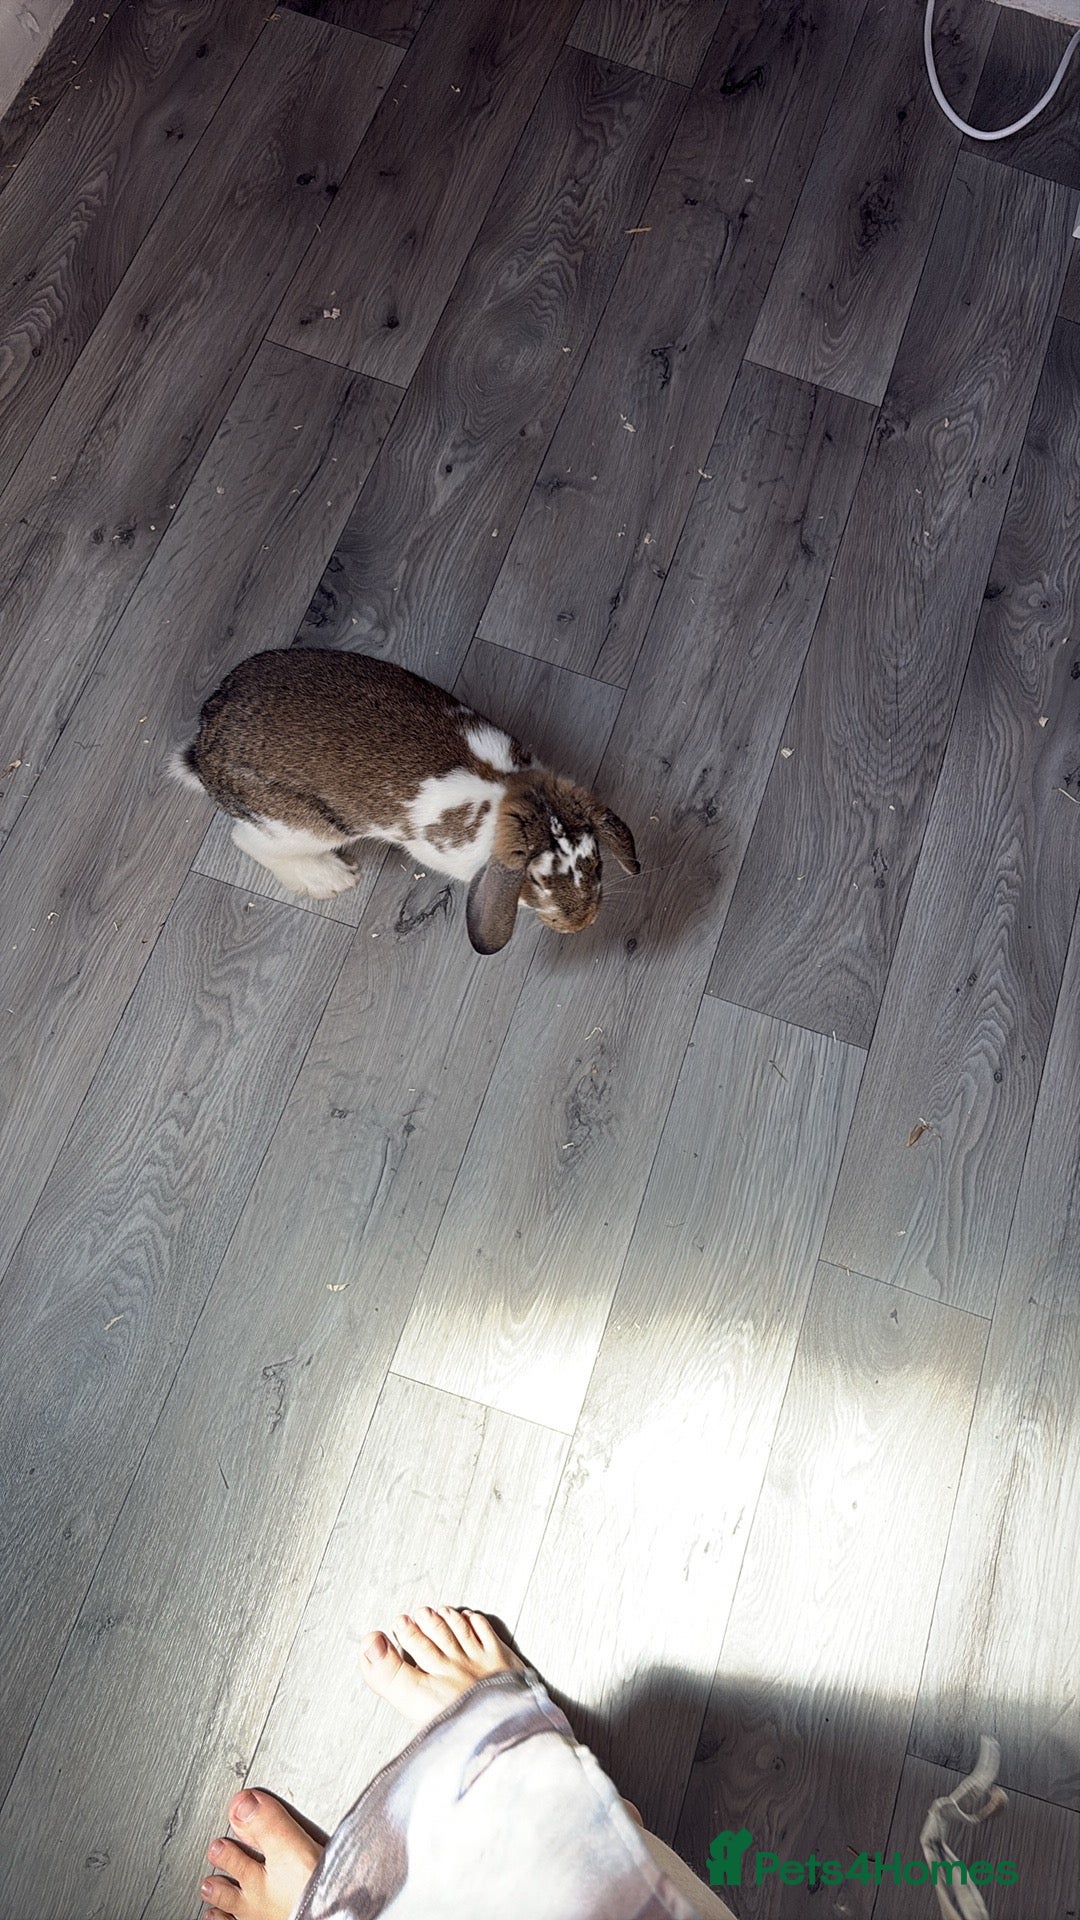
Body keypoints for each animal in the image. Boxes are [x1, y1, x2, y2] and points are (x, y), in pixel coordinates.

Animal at [169, 647, 639, 954]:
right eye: (537, 883)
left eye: (596, 862)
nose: (582, 922)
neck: (509, 792)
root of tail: (203, 748)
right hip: (303, 826)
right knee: (248, 841)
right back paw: (331, 879)